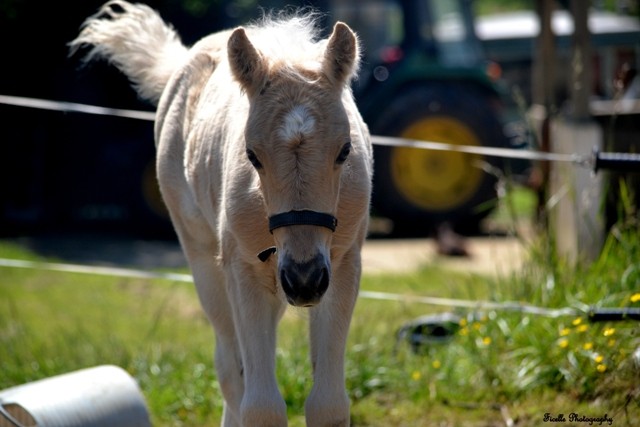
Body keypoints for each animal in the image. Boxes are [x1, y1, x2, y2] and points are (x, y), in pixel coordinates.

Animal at [70, 1, 372, 426]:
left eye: (345, 151)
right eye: (252, 156)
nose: (304, 280)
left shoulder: (343, 265)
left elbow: (328, 404)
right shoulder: (242, 269)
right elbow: (260, 405)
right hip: (204, 261)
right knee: (231, 372)